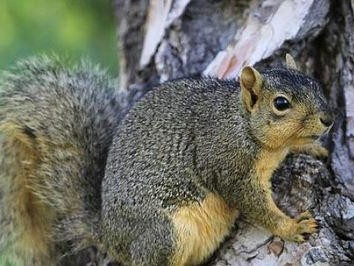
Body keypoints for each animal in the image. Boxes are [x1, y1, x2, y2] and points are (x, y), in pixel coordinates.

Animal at [0, 53, 332, 264]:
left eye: (316, 84)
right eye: (281, 104)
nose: (329, 119)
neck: (243, 123)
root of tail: (108, 235)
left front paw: (312, 147)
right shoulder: (228, 166)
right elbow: (257, 206)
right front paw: (292, 227)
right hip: (165, 235)